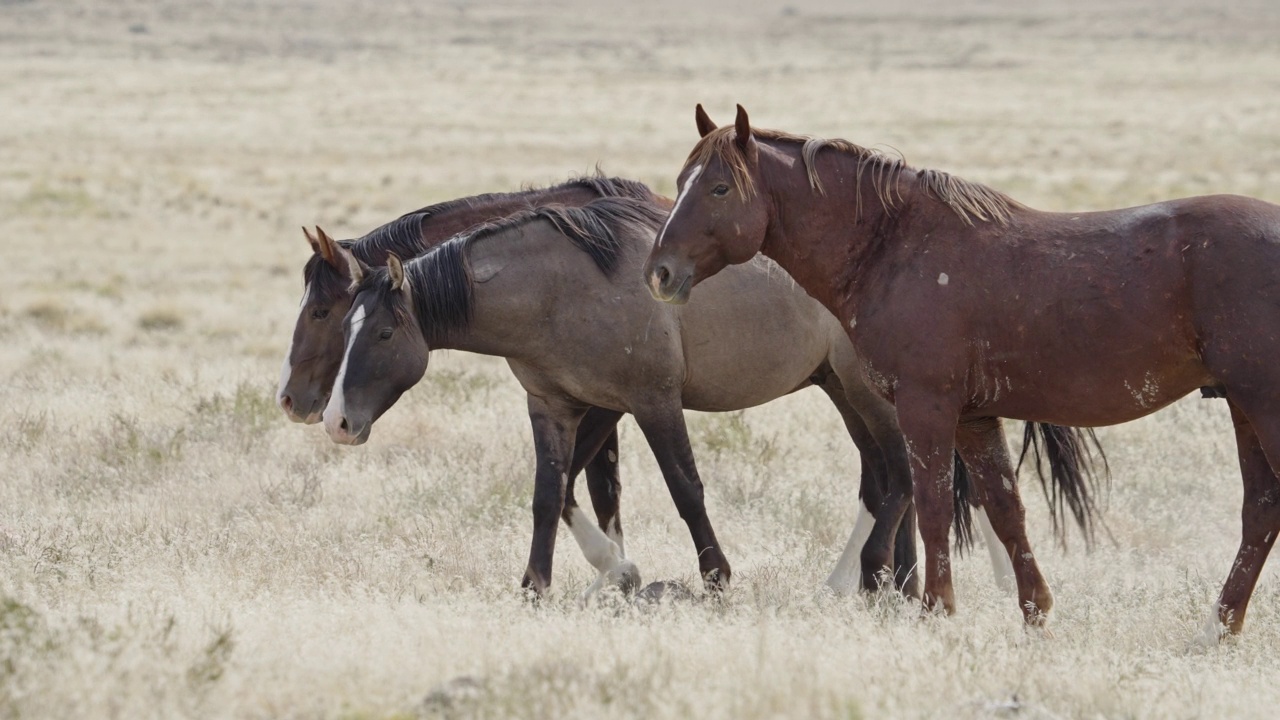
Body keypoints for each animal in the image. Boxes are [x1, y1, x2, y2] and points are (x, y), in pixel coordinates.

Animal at [317, 194, 1100, 599]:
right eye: (341, 322)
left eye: (382, 331)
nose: (336, 422)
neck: (561, 286)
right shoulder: (554, 408)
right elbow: (547, 495)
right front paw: (535, 586)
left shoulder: (652, 402)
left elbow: (685, 487)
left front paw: (716, 577)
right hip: (844, 391)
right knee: (890, 479)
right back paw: (880, 583)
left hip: (873, 394)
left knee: (905, 477)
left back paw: (862, 579)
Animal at [645, 103, 1280, 635]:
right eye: (679, 184)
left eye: (720, 188)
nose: (659, 272)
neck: (892, 246)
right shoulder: (975, 418)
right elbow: (1005, 510)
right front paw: (1034, 615)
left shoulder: (925, 407)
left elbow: (931, 508)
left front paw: (937, 610)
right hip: (1243, 407)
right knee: (1260, 510)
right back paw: (1219, 628)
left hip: (1261, 403)